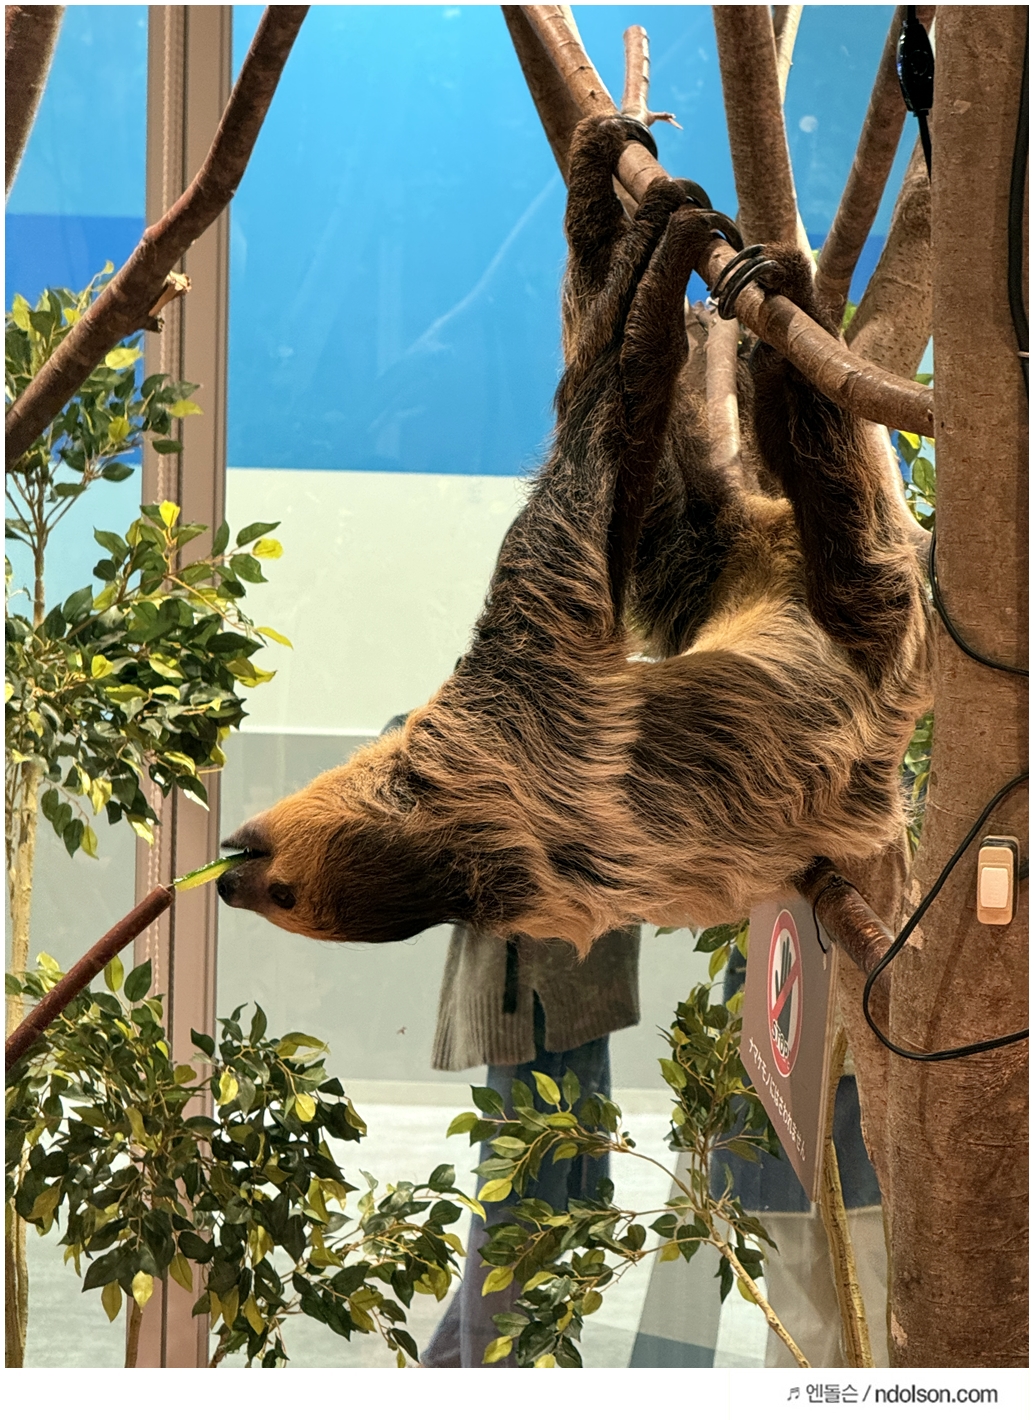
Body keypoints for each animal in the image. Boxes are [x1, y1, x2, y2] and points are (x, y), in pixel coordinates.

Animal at [217, 115, 931, 957]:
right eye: (286, 898)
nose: (228, 881)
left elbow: (607, 436)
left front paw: (648, 241)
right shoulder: (520, 677)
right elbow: (598, 435)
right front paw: (660, 249)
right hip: (862, 613)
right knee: (822, 528)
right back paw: (764, 307)